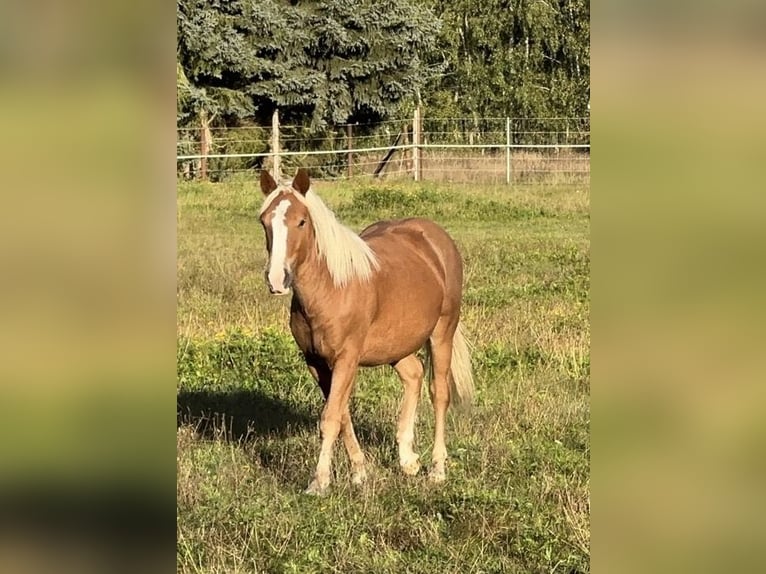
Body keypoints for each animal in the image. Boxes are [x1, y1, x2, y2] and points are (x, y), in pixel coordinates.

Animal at [260, 168, 474, 496]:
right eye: (264, 221)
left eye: (301, 221)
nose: (276, 279)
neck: (332, 287)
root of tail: (436, 239)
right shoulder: (317, 362)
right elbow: (341, 414)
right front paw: (359, 472)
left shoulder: (347, 359)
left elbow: (331, 417)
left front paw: (319, 481)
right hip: (396, 345)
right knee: (414, 375)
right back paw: (407, 460)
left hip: (442, 332)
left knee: (439, 393)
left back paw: (437, 469)